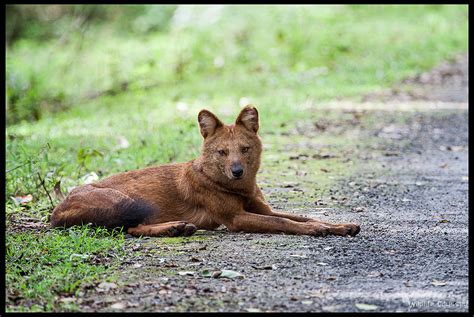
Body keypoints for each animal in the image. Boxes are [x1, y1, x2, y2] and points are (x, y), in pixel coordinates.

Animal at [51, 106, 360, 237]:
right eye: (222, 152)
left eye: (244, 149)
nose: (237, 171)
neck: (242, 188)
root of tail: (56, 209)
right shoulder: (235, 218)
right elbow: (285, 222)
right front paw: (317, 230)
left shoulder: (262, 209)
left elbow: (300, 215)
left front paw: (341, 226)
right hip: (125, 201)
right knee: (129, 227)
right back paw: (174, 228)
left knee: (130, 228)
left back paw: (178, 227)